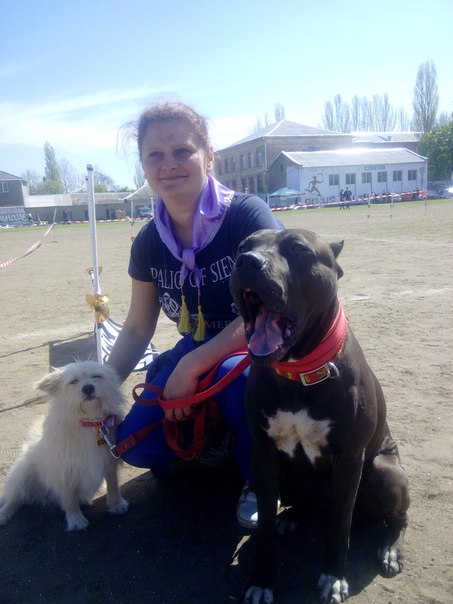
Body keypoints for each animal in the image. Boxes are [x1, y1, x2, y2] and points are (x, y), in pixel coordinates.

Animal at [0, 361, 128, 531]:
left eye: (96, 376)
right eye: (73, 381)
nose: (88, 388)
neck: (88, 421)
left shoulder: (109, 461)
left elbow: (113, 484)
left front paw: (116, 504)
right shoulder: (64, 470)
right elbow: (69, 498)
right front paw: (75, 519)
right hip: (22, 475)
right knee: (15, 498)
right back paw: (4, 513)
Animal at [229, 228, 410, 604]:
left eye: (298, 249)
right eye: (242, 247)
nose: (247, 262)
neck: (298, 368)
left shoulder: (350, 460)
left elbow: (340, 525)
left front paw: (334, 577)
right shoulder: (263, 455)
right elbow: (264, 526)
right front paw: (261, 579)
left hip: (383, 470)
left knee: (398, 518)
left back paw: (390, 548)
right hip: (289, 477)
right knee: (306, 506)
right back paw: (293, 517)